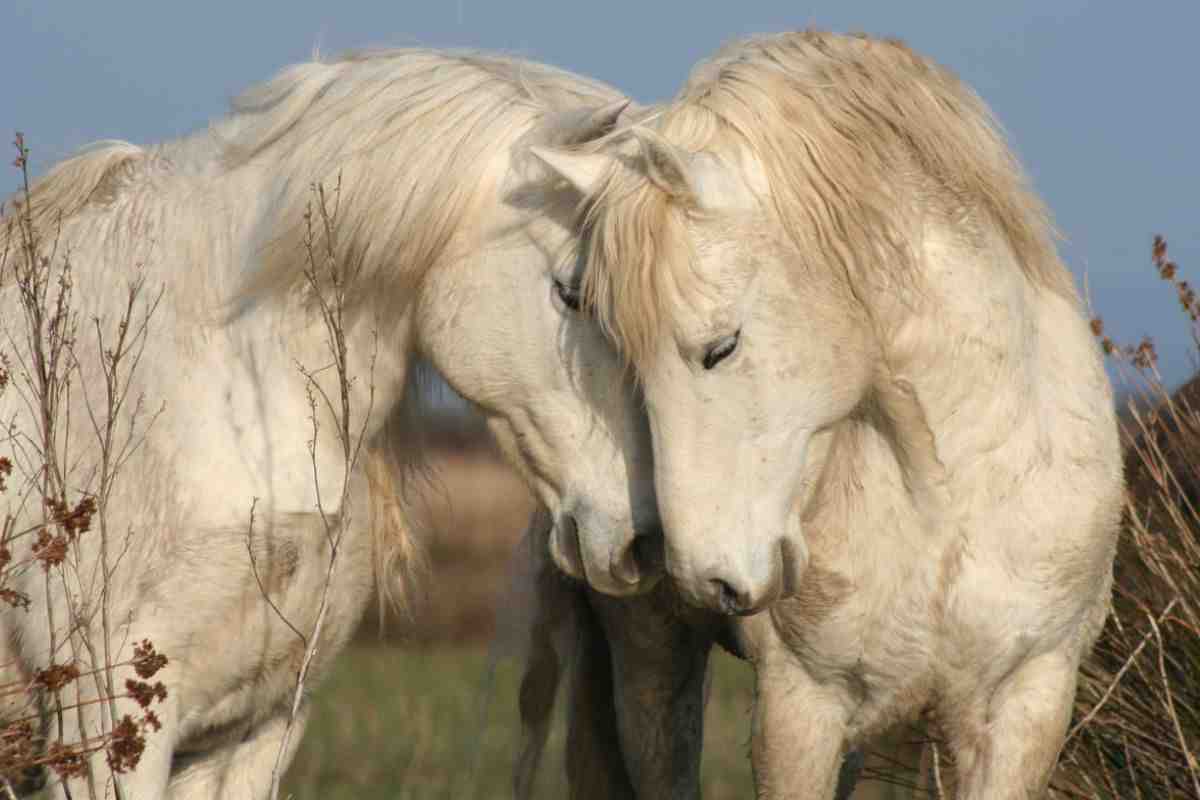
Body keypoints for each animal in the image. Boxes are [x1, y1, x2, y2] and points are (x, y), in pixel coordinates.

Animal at [532, 30, 1123, 799]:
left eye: (721, 347)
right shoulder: (800, 709)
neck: (951, 493)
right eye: (620, 352)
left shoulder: (1027, 701)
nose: (707, 577)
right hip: (652, 662)